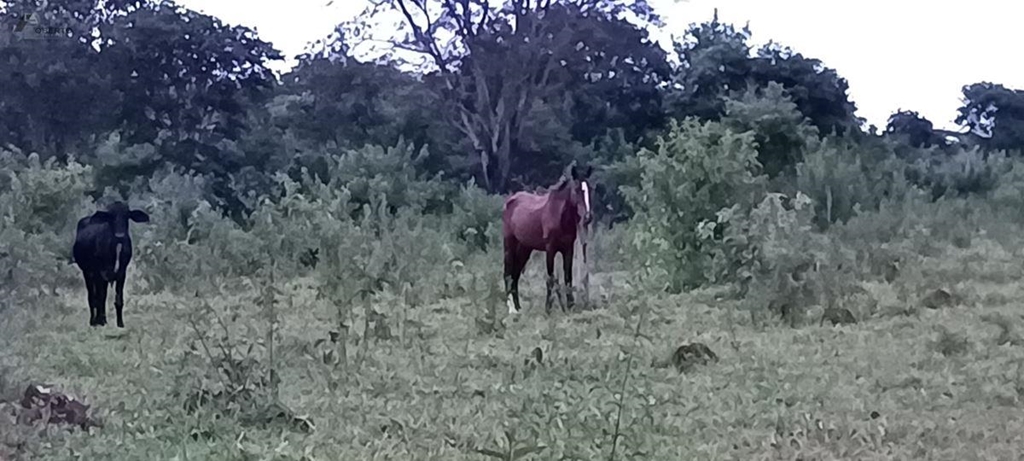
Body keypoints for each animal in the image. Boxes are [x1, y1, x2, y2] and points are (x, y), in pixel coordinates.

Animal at [501, 159, 593, 315]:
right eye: (577, 189)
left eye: (590, 189)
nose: (588, 217)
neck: (560, 216)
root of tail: (509, 201)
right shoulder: (550, 249)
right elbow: (550, 278)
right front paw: (548, 309)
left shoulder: (568, 249)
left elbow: (568, 277)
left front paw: (570, 306)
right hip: (509, 245)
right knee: (508, 274)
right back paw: (512, 309)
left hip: (524, 249)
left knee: (516, 274)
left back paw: (519, 308)